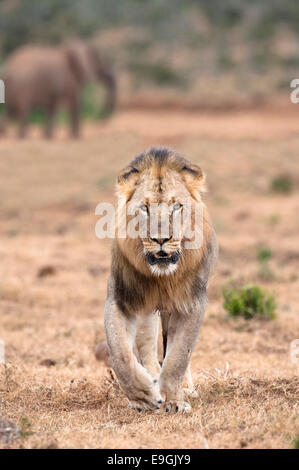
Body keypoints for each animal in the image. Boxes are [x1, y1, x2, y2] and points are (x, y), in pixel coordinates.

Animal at [105, 146, 218, 412]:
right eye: (144, 208)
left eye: (176, 206)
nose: (161, 239)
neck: (161, 278)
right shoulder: (121, 298)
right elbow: (120, 353)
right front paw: (143, 395)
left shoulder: (192, 303)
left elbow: (178, 356)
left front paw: (174, 399)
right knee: (146, 346)